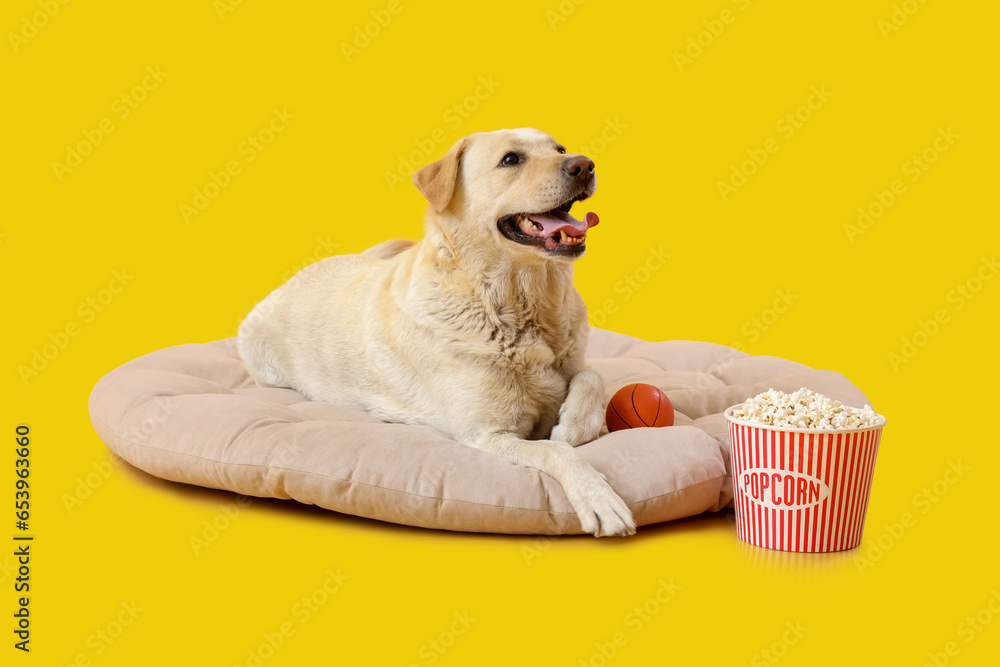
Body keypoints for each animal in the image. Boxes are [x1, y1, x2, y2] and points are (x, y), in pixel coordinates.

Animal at [238, 129, 636, 536]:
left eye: (559, 149)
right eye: (511, 159)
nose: (584, 164)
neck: (520, 305)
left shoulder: (574, 361)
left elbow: (590, 376)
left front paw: (575, 424)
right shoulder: (488, 435)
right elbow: (554, 449)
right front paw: (598, 498)